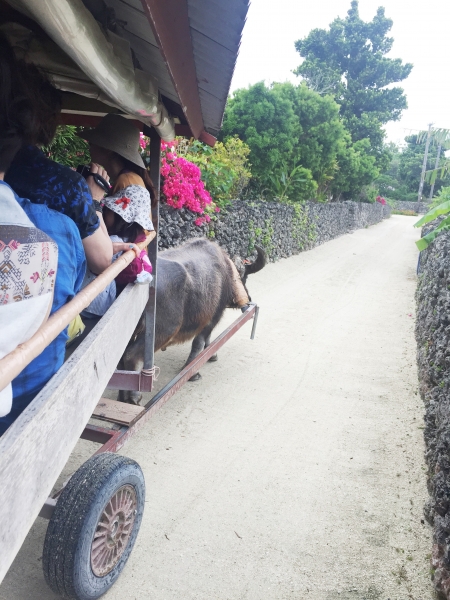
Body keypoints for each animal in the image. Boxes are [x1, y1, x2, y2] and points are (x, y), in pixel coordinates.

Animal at [119, 238, 266, 404]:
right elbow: (199, 342)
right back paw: (134, 396)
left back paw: (122, 395)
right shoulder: (212, 317)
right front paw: (193, 372)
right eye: (244, 277)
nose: (249, 297)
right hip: (161, 331)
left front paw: (211, 355)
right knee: (131, 355)